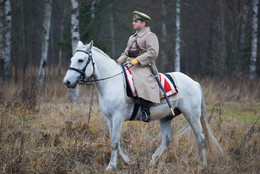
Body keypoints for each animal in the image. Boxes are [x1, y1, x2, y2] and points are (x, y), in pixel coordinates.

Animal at [63, 41, 223, 171]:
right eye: (71, 59)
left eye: (81, 60)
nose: (67, 82)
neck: (112, 83)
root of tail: (194, 82)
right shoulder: (110, 119)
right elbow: (115, 142)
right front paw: (128, 161)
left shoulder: (118, 118)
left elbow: (114, 142)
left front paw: (111, 166)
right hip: (166, 118)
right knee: (167, 139)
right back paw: (152, 161)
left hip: (192, 116)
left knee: (201, 138)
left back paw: (202, 165)